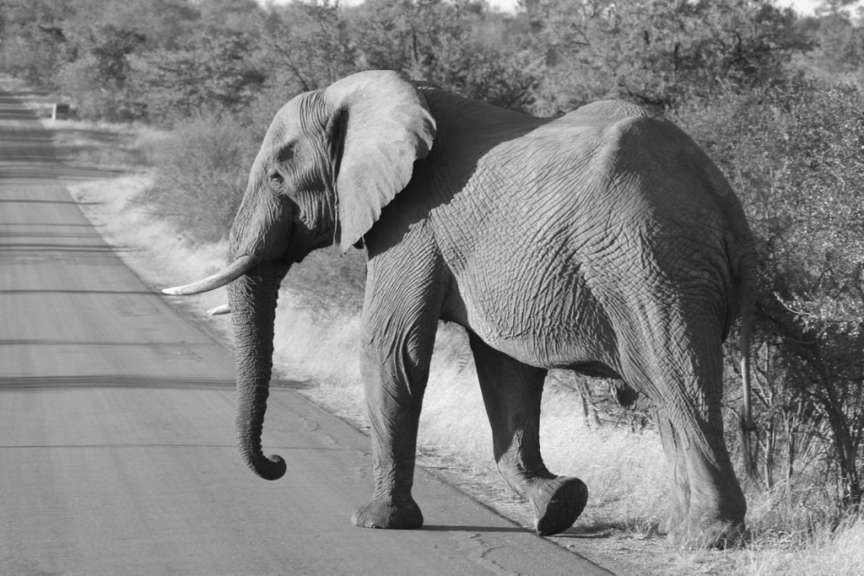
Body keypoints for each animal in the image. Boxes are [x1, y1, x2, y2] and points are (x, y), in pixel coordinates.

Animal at [164, 70, 755, 547]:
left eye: (277, 179)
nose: (278, 463)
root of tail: (720, 198)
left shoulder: (412, 222)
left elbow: (391, 348)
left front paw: (378, 521)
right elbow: (507, 373)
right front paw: (559, 505)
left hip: (648, 263)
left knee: (676, 385)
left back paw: (706, 537)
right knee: (669, 398)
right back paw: (679, 528)